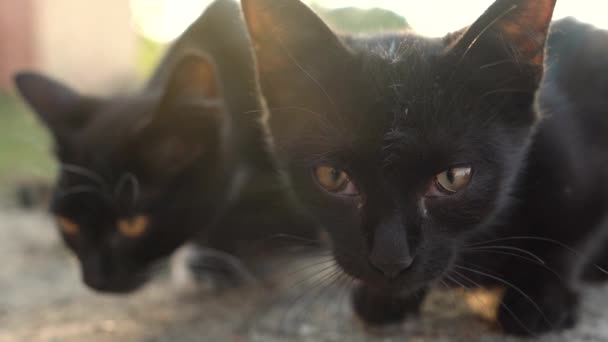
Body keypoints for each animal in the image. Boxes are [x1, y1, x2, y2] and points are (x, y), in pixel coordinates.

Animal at [242, 0, 608, 336]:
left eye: (453, 177)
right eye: (332, 177)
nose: (390, 259)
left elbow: (569, 247)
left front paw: (540, 299)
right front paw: (384, 297)